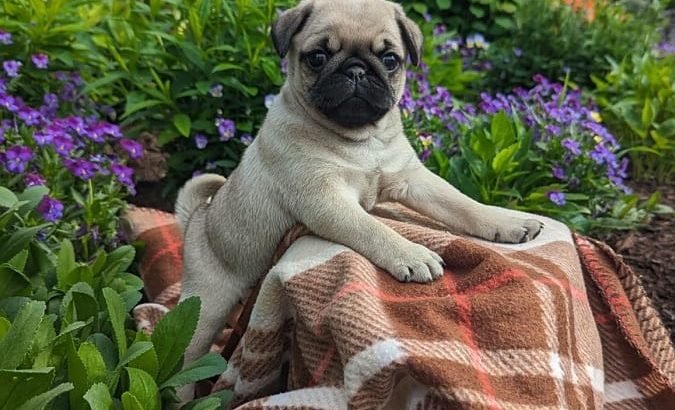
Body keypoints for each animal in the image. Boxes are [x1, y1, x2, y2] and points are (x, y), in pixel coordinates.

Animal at [176, 0, 544, 394]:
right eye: (317, 57)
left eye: (390, 59)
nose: (356, 70)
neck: (360, 140)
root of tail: (197, 219)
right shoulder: (327, 201)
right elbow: (374, 229)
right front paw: (411, 254)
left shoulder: (413, 179)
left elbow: (463, 204)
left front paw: (507, 222)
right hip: (205, 306)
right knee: (187, 356)